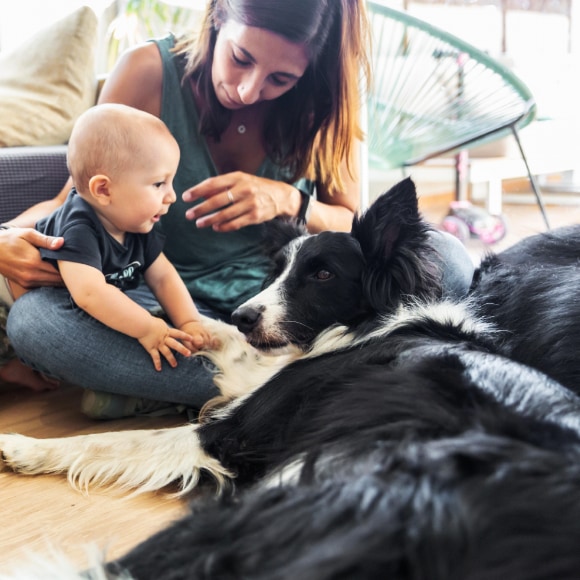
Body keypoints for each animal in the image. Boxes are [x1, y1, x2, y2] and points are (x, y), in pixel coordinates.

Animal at [5, 179, 580, 576]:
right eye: (277, 270)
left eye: (323, 274)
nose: (244, 314)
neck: (362, 325)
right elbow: (214, 335)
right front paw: (179, 327)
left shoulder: (233, 432)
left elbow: (108, 443)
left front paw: (22, 446)